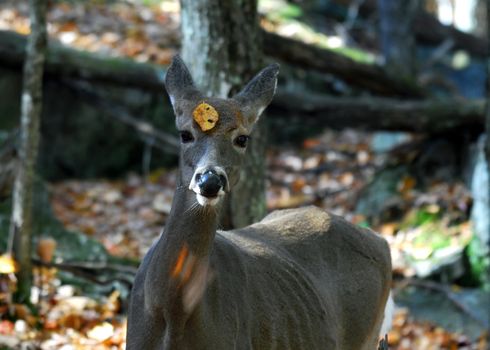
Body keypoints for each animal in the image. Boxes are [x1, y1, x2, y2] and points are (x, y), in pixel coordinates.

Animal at [127, 56, 394, 348]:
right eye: (184, 134)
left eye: (242, 138)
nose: (210, 180)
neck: (172, 312)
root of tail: (380, 240)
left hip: (367, 335)